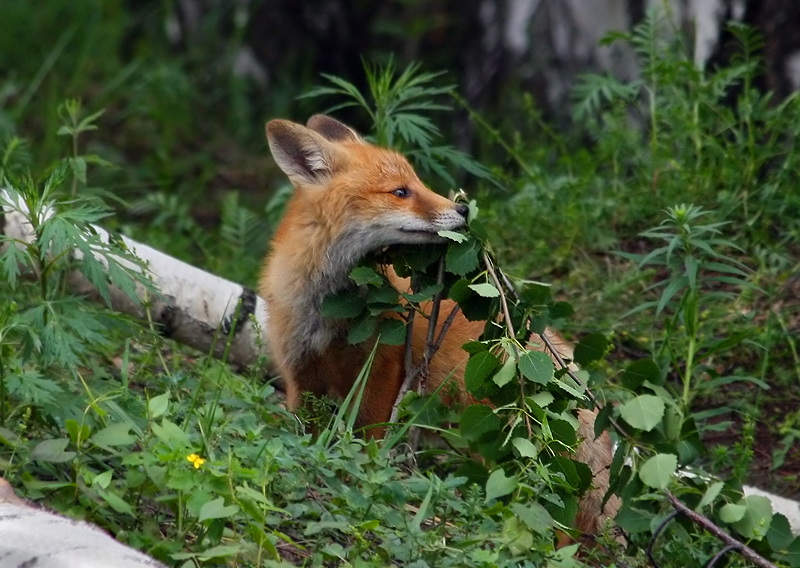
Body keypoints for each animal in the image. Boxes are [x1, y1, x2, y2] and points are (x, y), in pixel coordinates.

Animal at [260, 114, 620, 536]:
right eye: (400, 192)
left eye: (418, 182)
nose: (463, 210)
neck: (329, 312)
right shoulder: (300, 374)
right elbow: (307, 435)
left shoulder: (382, 370)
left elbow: (369, 439)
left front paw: (362, 477)